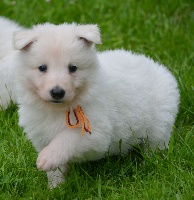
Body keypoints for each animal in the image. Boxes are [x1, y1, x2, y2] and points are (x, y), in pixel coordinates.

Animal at [0, 17, 180, 188]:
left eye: (73, 68)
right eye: (42, 68)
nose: (57, 92)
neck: (58, 109)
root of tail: (160, 68)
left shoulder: (97, 132)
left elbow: (67, 138)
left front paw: (47, 157)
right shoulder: (41, 135)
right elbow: (56, 170)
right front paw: (55, 187)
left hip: (159, 126)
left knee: (155, 147)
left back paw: (149, 165)